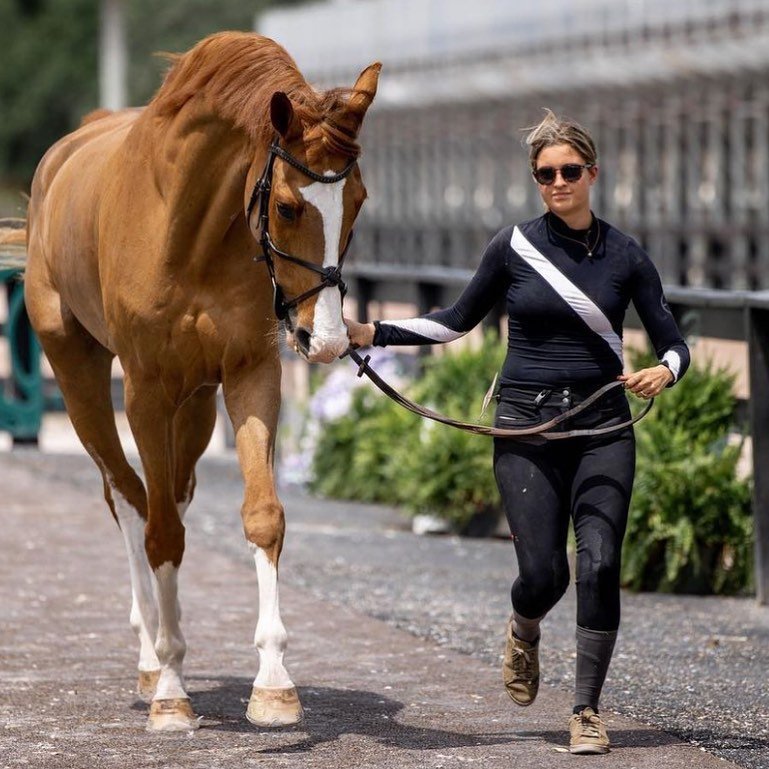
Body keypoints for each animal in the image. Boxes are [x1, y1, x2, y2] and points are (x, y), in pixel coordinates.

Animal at [24, 34, 380, 732]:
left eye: (357, 202)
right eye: (288, 206)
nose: (324, 340)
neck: (187, 232)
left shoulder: (249, 374)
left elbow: (262, 517)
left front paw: (274, 685)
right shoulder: (144, 390)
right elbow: (158, 529)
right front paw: (169, 692)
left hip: (193, 403)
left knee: (174, 495)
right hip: (80, 376)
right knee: (129, 498)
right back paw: (152, 658)